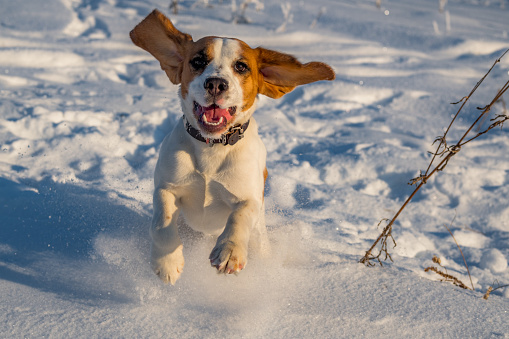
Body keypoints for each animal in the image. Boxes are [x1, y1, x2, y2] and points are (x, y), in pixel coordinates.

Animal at [129, 9, 336, 284]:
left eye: (241, 66)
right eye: (198, 61)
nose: (216, 84)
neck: (213, 147)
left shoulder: (248, 196)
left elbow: (240, 216)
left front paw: (229, 253)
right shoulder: (167, 186)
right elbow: (161, 220)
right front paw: (167, 262)